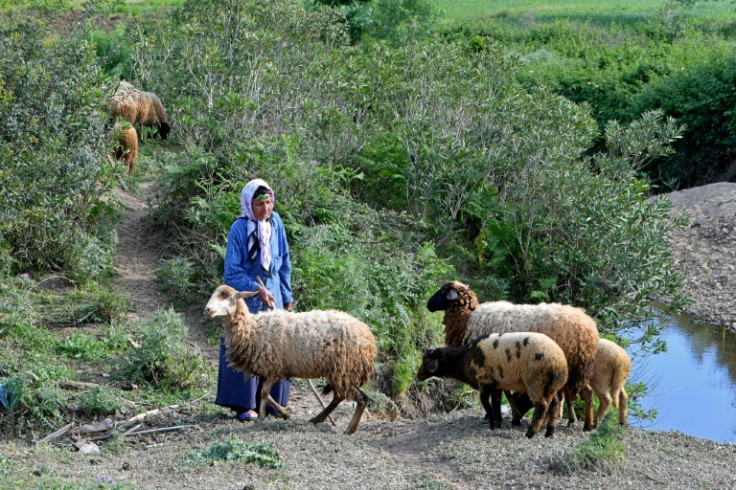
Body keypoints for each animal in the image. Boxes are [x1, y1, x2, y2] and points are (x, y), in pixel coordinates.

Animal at [204, 286, 376, 434]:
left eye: (225, 295)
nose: (207, 310)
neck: (251, 328)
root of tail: (369, 337)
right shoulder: (271, 368)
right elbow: (265, 394)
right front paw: (284, 413)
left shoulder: (272, 366)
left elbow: (264, 393)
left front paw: (261, 418)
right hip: (340, 371)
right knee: (340, 396)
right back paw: (317, 419)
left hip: (345, 369)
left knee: (360, 398)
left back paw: (349, 429)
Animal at [416, 332, 568, 438]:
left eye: (426, 360)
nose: (418, 376)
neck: (464, 358)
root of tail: (559, 361)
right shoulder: (497, 384)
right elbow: (496, 403)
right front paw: (499, 423)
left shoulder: (484, 382)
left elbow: (486, 404)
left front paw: (493, 425)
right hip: (551, 386)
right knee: (554, 404)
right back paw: (549, 432)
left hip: (536, 382)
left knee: (541, 407)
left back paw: (531, 433)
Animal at [428, 282, 600, 430]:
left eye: (443, 291)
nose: (428, 305)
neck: (466, 321)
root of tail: (590, 328)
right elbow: (504, 392)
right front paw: (509, 416)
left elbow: (499, 393)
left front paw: (496, 417)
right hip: (577, 366)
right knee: (583, 392)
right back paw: (580, 422)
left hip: (573, 364)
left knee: (580, 393)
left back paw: (581, 424)